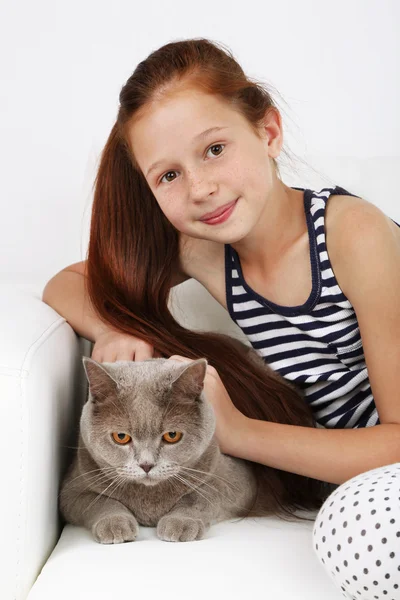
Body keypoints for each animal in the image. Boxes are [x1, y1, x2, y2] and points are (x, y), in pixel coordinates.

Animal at [60, 342, 294, 544]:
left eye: (172, 435)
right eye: (121, 437)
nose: (146, 465)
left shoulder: (239, 480)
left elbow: (201, 495)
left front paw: (180, 522)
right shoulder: (73, 486)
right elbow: (99, 501)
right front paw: (114, 524)